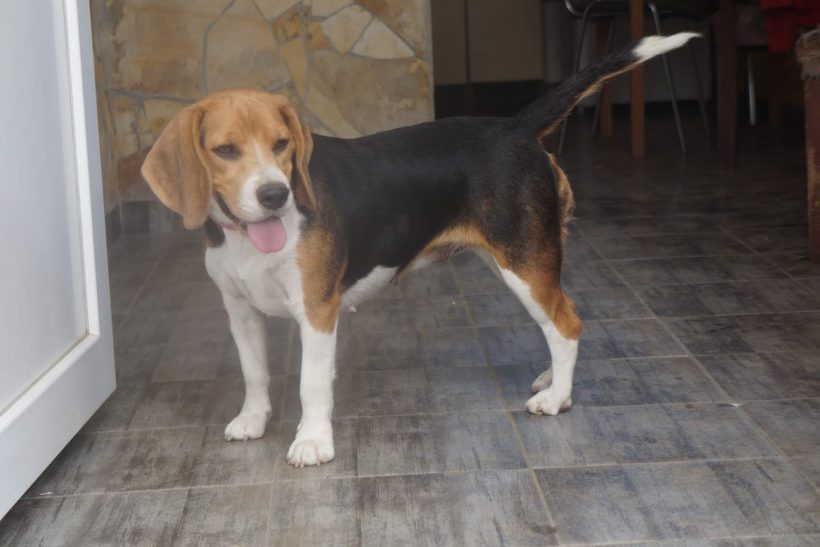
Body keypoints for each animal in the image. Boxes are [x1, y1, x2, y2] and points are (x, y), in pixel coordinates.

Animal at [140, 33, 697, 467]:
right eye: (225, 150)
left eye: (281, 144)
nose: (275, 194)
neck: (249, 238)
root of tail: (514, 126)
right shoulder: (240, 311)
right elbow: (254, 373)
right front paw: (252, 420)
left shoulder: (317, 311)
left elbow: (311, 384)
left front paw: (313, 442)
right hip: (521, 263)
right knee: (560, 318)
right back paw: (550, 379)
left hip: (524, 264)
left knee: (567, 324)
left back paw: (558, 396)